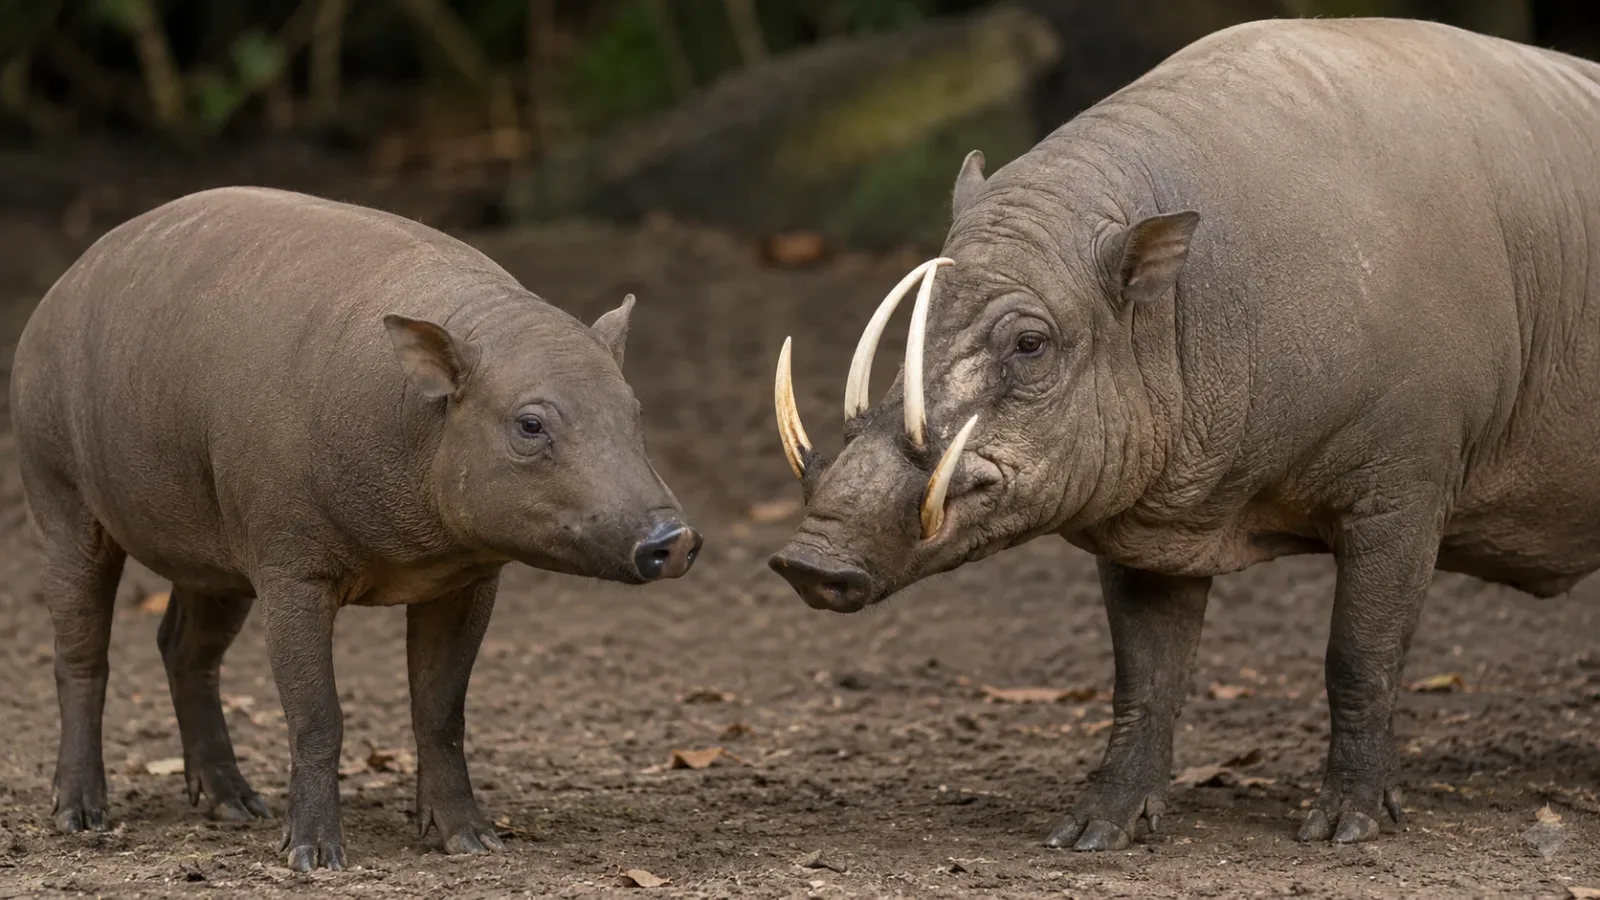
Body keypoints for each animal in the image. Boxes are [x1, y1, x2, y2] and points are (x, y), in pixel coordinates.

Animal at [10, 186, 701, 871]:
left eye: (634, 410)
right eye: (530, 425)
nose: (674, 538)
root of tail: (60, 287)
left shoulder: (470, 579)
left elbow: (441, 711)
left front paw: (472, 842)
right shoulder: (288, 565)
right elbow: (318, 714)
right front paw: (313, 857)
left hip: (214, 555)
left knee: (182, 648)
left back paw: (237, 806)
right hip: (58, 494)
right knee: (81, 655)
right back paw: (80, 816)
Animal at [768, 17, 1600, 850]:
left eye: (1030, 343)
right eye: (921, 308)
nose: (811, 559)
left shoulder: (1406, 485)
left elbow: (1359, 658)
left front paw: (1346, 825)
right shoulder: (1142, 522)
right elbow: (1144, 676)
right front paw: (1097, 829)